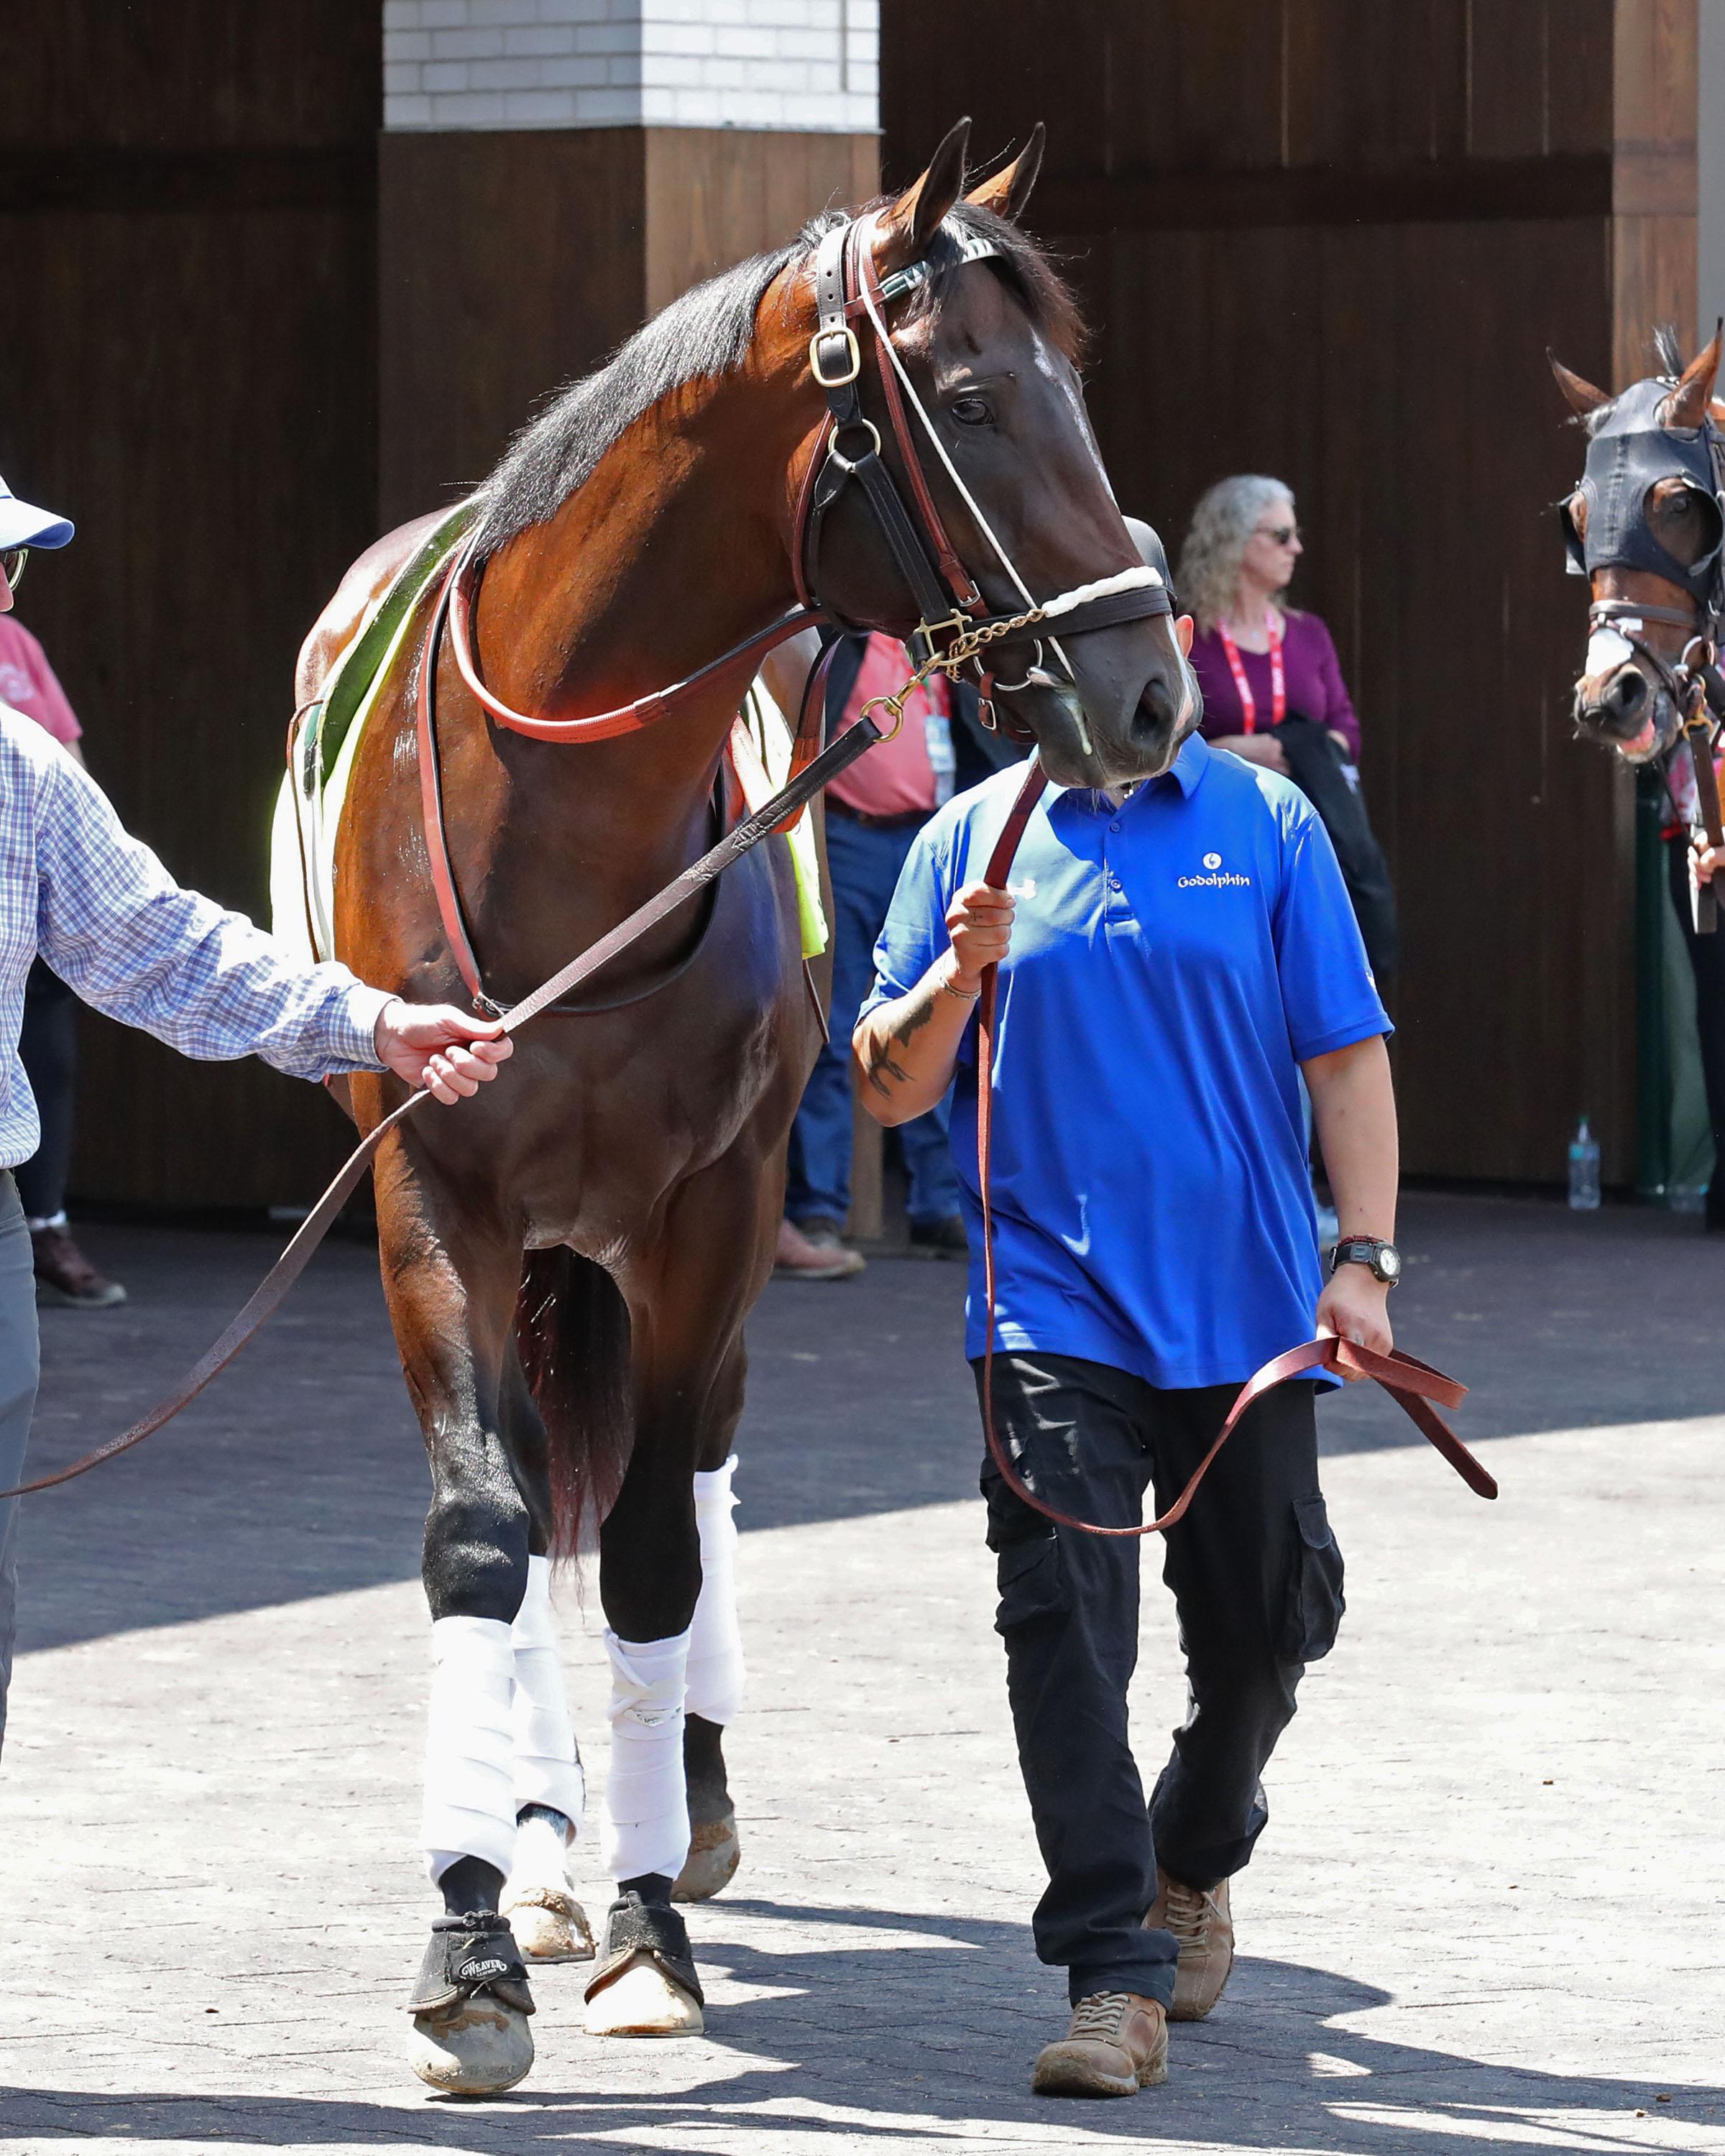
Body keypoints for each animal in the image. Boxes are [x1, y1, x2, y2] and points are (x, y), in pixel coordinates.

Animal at [296, 117, 1195, 2095]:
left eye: (1078, 388)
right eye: (968, 398)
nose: (1152, 688)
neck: (561, 825)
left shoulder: (709, 1198)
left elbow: (647, 1543)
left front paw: (651, 1924)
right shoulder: (427, 1189)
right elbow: (484, 1530)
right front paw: (475, 1935)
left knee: (685, 1471)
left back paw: (669, 1816)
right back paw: (545, 1844)